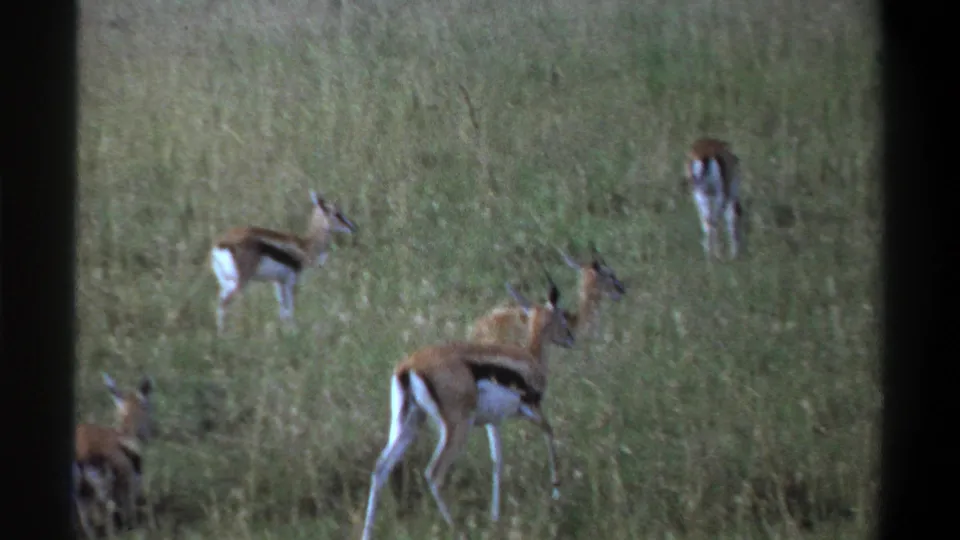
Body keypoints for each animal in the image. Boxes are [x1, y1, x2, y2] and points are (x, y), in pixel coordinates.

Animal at [74, 373, 154, 538]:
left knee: (87, 522)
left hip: (82, 495)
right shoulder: (128, 483)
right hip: (102, 491)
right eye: (148, 406)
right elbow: (129, 510)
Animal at [210, 189, 357, 333]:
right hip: (240, 283)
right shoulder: (291, 281)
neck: (306, 246)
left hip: (226, 282)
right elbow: (290, 311)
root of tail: (221, 244)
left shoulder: (278, 282)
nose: (352, 227)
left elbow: (282, 312)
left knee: (220, 304)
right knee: (225, 305)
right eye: (337, 213)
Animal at [361, 277, 576, 540]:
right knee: (433, 473)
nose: (571, 338)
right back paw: (456, 528)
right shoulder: (531, 409)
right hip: (457, 427)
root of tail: (409, 366)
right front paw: (556, 492)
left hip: (408, 425)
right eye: (563, 317)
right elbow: (550, 434)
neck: (531, 359)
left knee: (380, 468)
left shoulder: (493, 422)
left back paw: (367, 533)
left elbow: (497, 461)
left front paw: (495, 516)